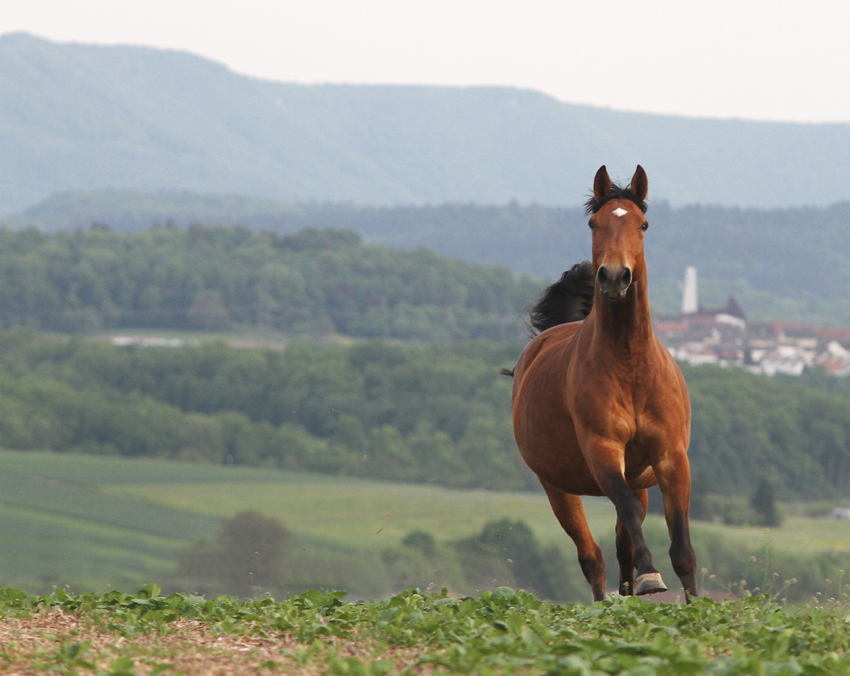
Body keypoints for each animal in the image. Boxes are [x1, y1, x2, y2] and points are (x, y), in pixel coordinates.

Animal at [504, 164, 696, 604]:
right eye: (594, 223)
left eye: (643, 224)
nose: (613, 276)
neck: (631, 367)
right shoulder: (603, 451)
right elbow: (627, 514)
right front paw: (650, 576)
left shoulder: (671, 458)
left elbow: (682, 545)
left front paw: (698, 605)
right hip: (558, 489)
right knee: (593, 556)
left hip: (638, 479)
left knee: (622, 544)